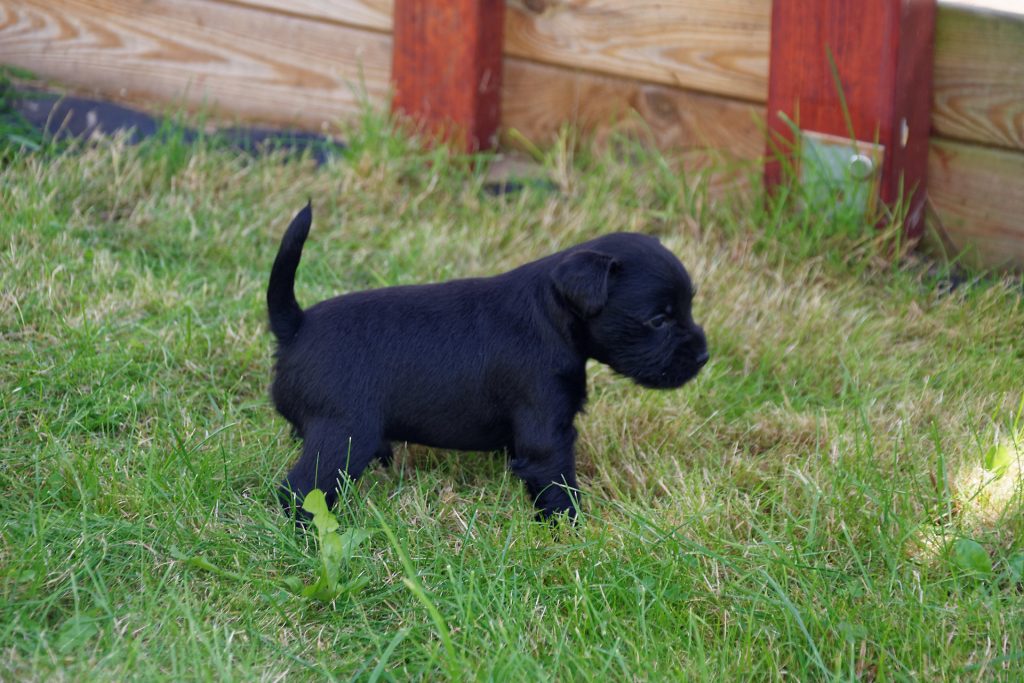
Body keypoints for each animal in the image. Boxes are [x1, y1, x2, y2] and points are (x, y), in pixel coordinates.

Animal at [268, 205, 708, 520]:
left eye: (688, 306)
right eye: (659, 320)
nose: (704, 356)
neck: (552, 315)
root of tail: (297, 325)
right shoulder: (547, 434)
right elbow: (558, 486)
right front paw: (573, 530)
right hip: (344, 435)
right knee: (300, 489)